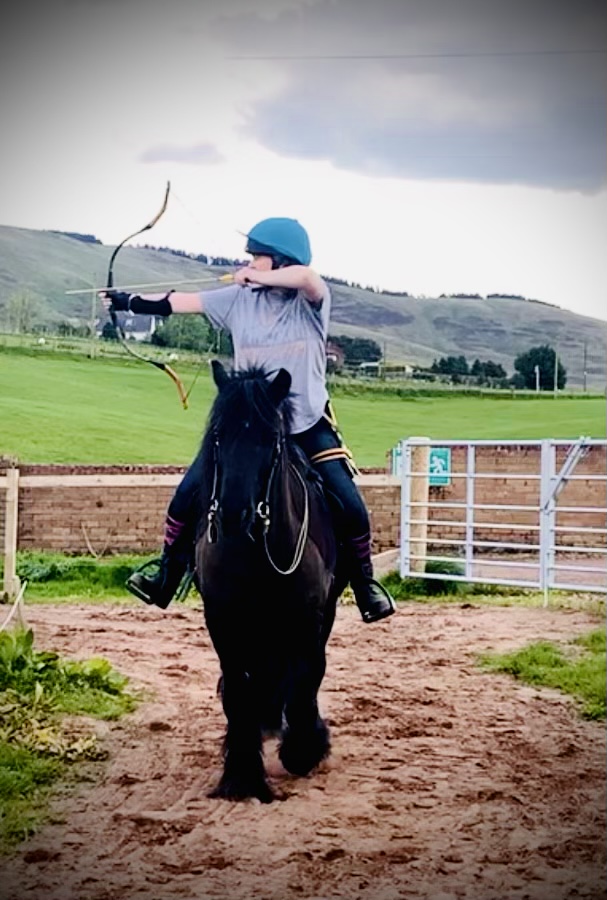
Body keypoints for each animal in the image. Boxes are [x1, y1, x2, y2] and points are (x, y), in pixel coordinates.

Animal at [195, 360, 347, 803]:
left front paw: (303, 750)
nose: (233, 514)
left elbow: (307, 677)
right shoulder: (222, 621)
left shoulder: (310, 618)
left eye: (270, 439)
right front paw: (241, 775)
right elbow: (238, 691)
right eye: (218, 435)